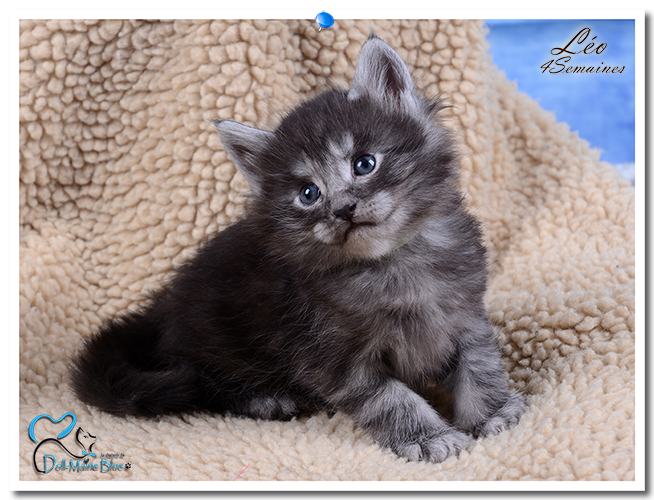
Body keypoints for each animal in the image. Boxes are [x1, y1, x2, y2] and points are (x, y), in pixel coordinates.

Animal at [71, 34, 525, 463]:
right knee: (205, 385)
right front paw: (428, 437)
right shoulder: (331, 356)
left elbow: (480, 366)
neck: (392, 263)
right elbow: (391, 399)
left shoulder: (465, 313)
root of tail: (160, 308)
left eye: (364, 163)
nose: (343, 209)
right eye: (309, 193)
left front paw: (492, 415)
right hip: (213, 342)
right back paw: (266, 399)